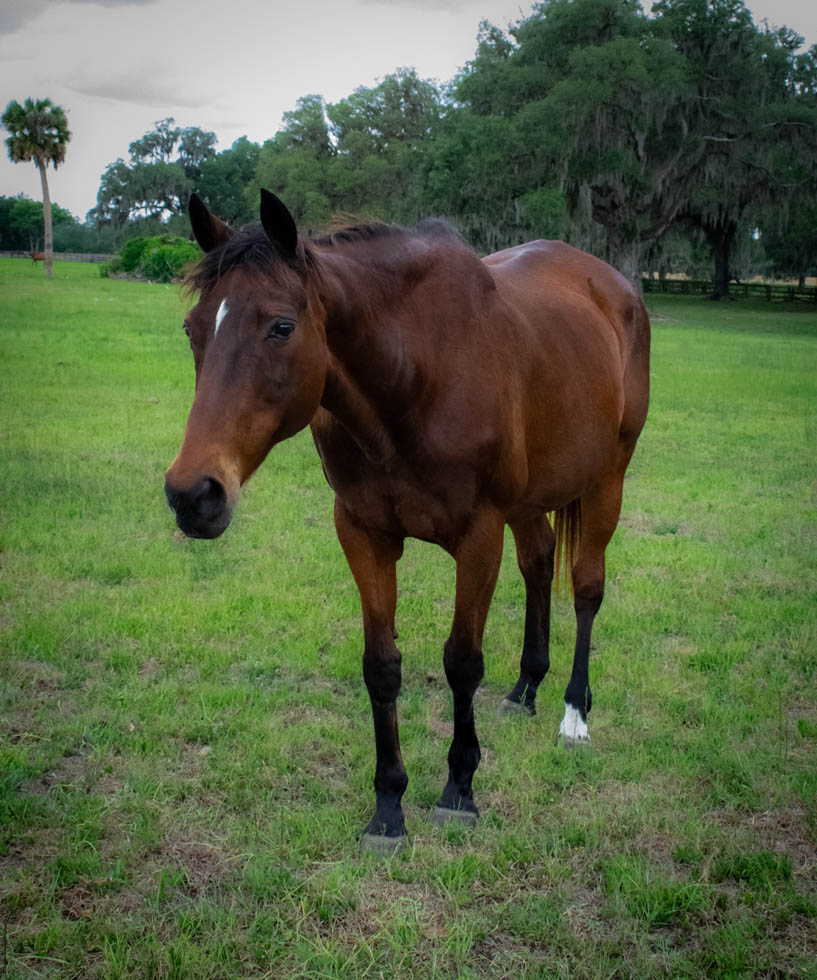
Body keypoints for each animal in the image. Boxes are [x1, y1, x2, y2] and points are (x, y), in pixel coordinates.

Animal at [164, 190, 650, 854]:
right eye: (192, 328)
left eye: (281, 326)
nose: (193, 495)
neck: (415, 375)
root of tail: (614, 285)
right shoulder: (363, 533)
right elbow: (381, 666)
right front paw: (389, 807)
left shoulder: (478, 537)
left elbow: (462, 662)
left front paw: (459, 791)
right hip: (531, 505)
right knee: (539, 563)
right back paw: (525, 689)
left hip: (607, 481)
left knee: (585, 587)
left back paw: (574, 714)